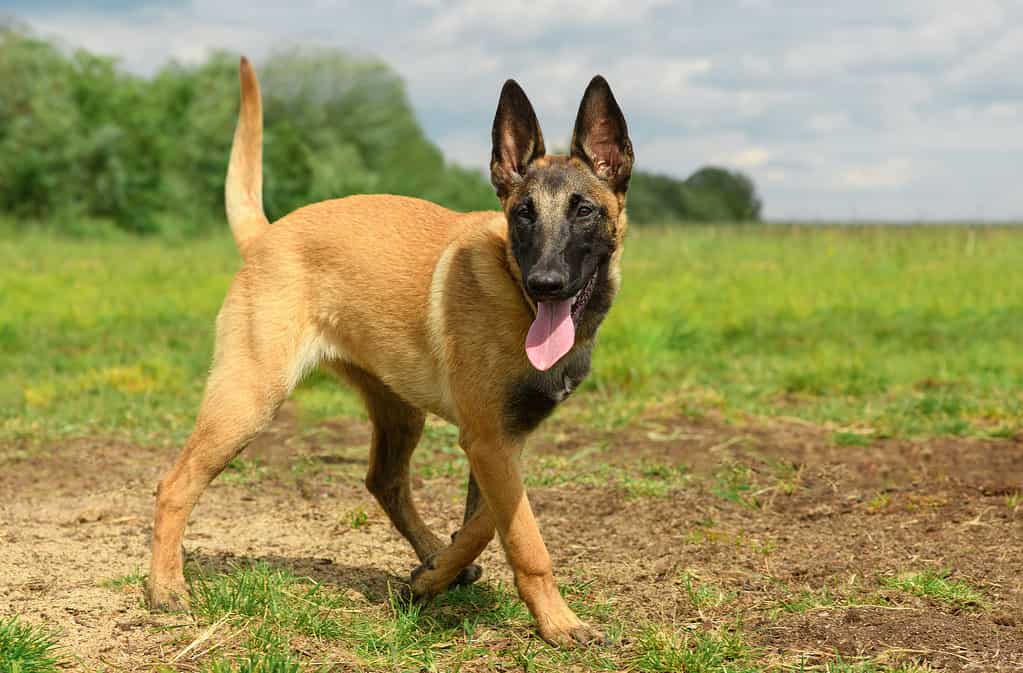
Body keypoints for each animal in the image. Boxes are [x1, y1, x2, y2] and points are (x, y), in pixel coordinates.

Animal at [146, 56, 630, 646]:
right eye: (523, 214)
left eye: (584, 211)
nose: (546, 283)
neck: (514, 293)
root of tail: (266, 234)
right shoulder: (489, 442)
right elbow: (523, 537)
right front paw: (559, 621)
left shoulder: (499, 442)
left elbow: (486, 524)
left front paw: (432, 576)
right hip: (247, 401)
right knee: (174, 485)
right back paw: (166, 588)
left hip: (399, 409)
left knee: (384, 481)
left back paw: (431, 557)